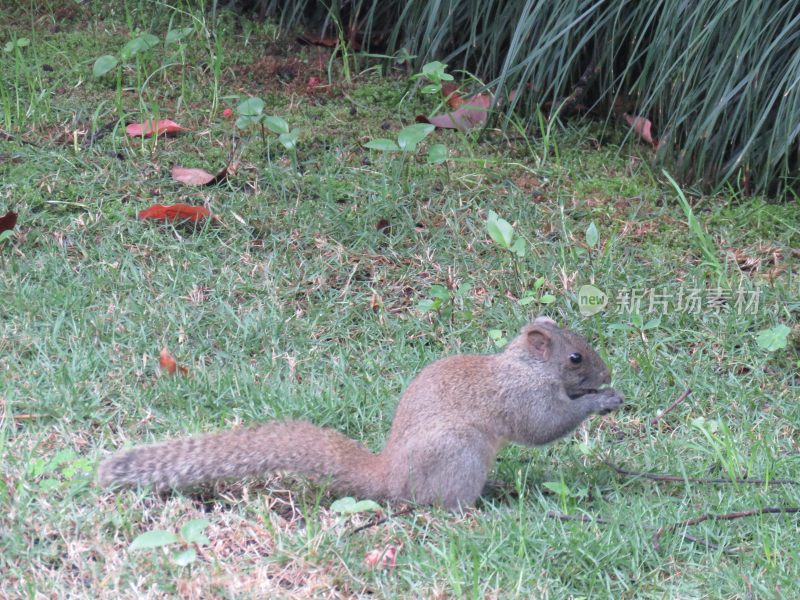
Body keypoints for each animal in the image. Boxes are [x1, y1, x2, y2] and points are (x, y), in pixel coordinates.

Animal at [98, 316, 624, 508]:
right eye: (575, 358)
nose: (606, 371)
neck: (522, 367)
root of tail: (389, 477)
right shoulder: (522, 398)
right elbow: (545, 426)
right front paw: (602, 399)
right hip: (459, 453)